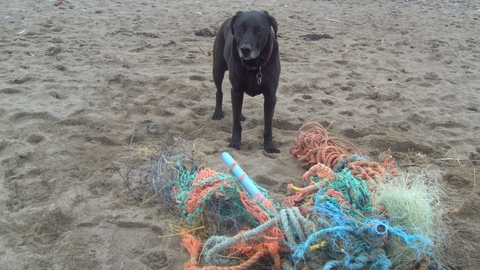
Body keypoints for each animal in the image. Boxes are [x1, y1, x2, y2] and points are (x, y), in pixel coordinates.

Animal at [211, 9, 282, 153]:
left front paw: (269, 145)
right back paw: (218, 112)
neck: (255, 65)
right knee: (219, 91)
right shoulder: (236, 90)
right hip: (218, 69)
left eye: (260, 30)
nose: (244, 49)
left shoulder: (271, 96)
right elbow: (236, 123)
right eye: (240, 28)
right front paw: (235, 142)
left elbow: (268, 124)